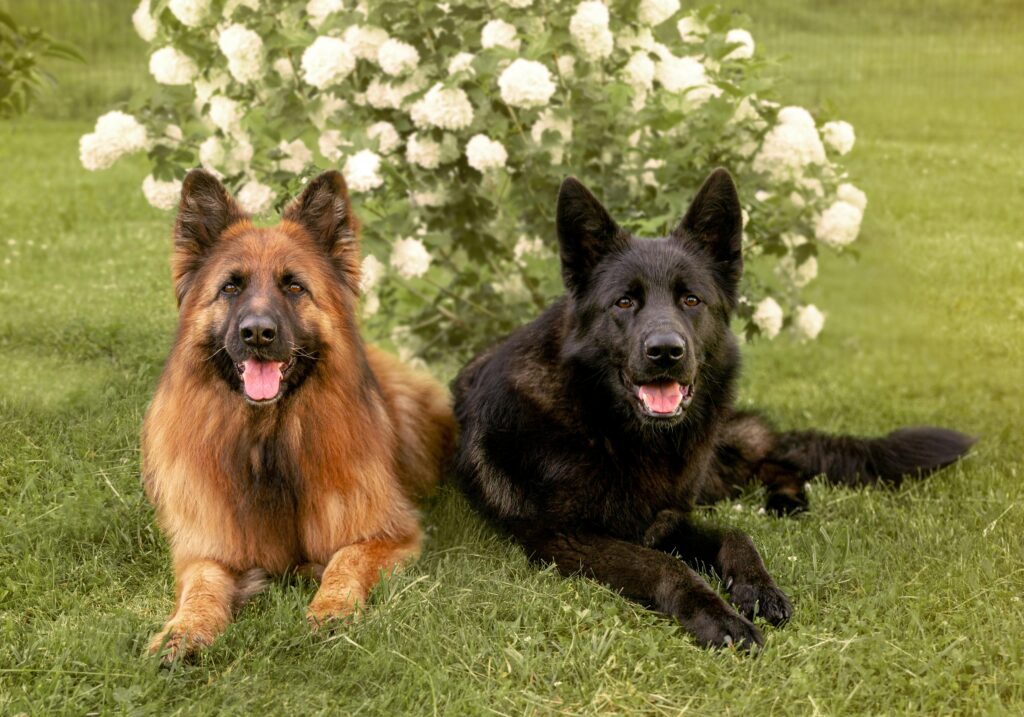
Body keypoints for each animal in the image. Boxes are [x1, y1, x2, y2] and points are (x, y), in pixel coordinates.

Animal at [141, 167, 456, 659]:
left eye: (294, 286)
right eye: (230, 287)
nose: (257, 333)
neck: (268, 441)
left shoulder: (386, 533)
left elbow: (345, 562)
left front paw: (331, 609)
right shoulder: (207, 548)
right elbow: (202, 587)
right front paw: (184, 631)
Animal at [452, 169, 970, 651]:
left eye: (691, 299)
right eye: (624, 301)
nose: (666, 351)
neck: (609, 428)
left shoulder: (669, 517)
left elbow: (736, 534)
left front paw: (756, 587)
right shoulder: (567, 538)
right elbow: (669, 564)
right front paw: (718, 616)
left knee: (774, 456)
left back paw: (788, 499)